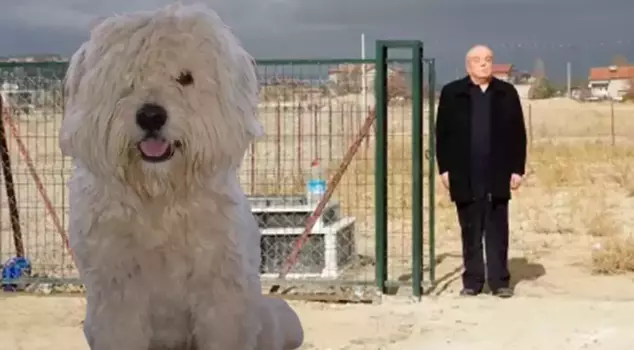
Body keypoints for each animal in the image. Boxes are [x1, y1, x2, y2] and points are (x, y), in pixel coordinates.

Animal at [60, 3, 302, 350]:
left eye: (185, 77)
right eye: (127, 79)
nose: (151, 116)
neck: (160, 195)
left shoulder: (220, 296)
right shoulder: (118, 298)